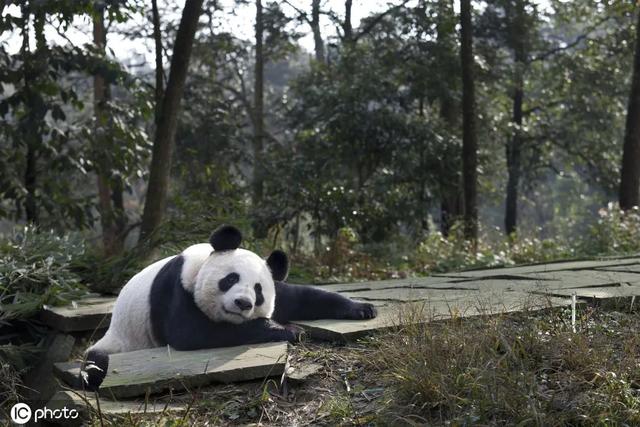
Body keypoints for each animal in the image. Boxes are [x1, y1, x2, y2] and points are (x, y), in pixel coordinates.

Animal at [82, 227, 378, 392]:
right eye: (230, 279)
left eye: (258, 291)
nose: (243, 303)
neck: (201, 260)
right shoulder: (177, 288)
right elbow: (192, 333)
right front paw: (289, 329)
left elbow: (301, 298)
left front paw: (362, 308)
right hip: (120, 343)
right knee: (96, 365)